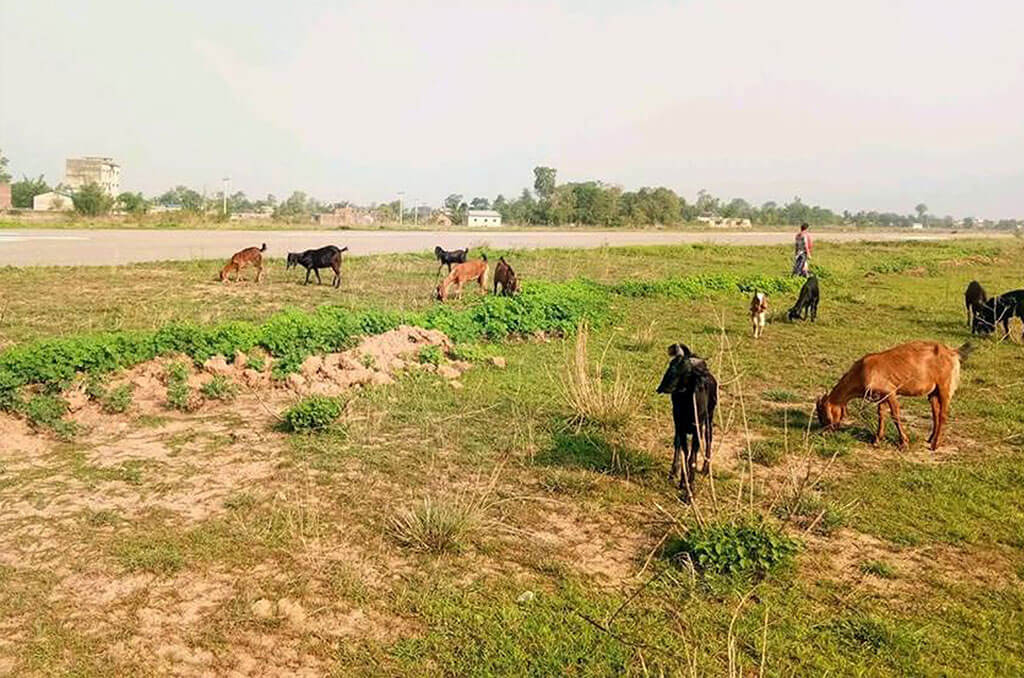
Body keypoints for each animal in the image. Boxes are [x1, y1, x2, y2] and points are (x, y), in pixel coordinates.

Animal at [655, 346, 720, 499]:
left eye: (686, 371)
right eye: (670, 365)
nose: (663, 388)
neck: (687, 405)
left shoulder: (697, 429)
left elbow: (693, 460)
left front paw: (690, 491)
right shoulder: (680, 426)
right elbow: (685, 454)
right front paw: (683, 483)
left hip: (709, 419)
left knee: (709, 439)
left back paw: (705, 468)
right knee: (677, 444)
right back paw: (674, 472)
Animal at [811, 340, 970, 450]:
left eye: (825, 416)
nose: (824, 432)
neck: (862, 371)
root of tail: (953, 352)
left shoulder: (890, 392)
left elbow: (895, 416)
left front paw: (904, 443)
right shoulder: (880, 396)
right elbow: (881, 415)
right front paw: (877, 439)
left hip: (944, 387)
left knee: (943, 415)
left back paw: (935, 445)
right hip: (933, 392)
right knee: (935, 413)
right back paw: (931, 439)